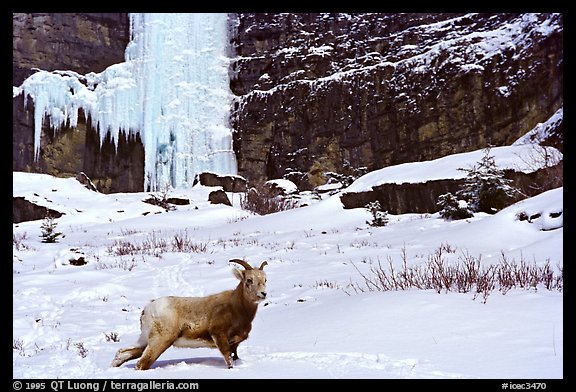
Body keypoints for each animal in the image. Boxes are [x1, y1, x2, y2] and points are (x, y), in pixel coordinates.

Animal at [111, 258, 268, 370]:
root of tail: (148, 308)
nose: (263, 294)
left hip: (145, 340)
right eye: (249, 280)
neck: (236, 308)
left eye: (265, 280)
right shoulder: (219, 335)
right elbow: (228, 359)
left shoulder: (235, 343)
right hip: (161, 340)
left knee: (125, 353)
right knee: (142, 363)